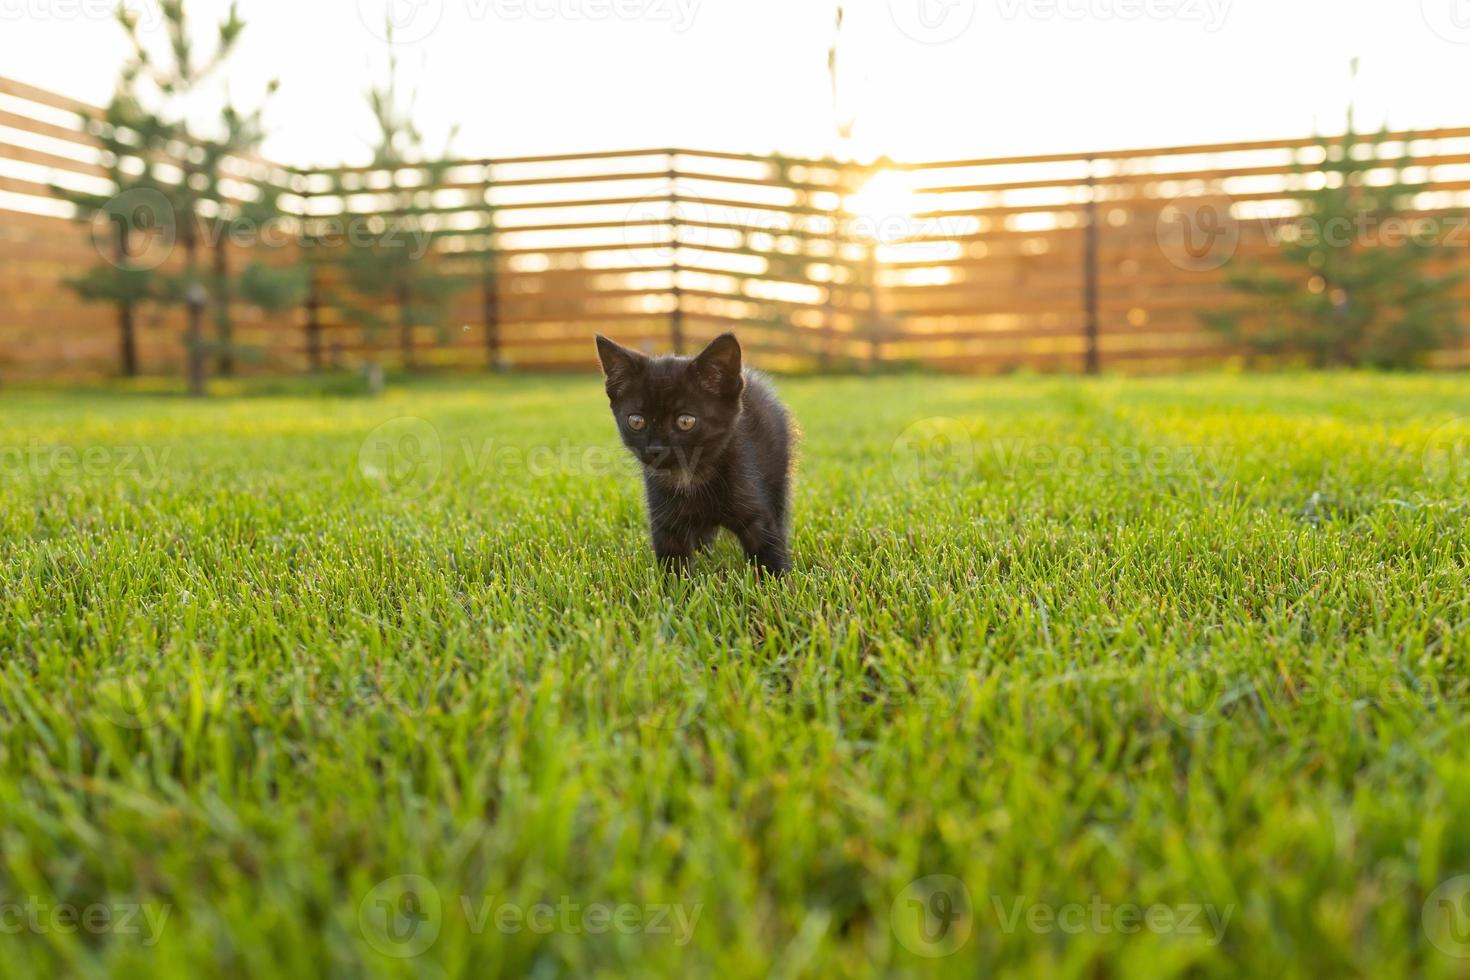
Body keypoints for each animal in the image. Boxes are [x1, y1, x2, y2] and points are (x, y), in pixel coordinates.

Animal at [593, 334, 793, 575]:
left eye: (686, 421)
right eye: (636, 421)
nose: (655, 449)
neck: (690, 476)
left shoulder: (756, 512)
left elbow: (768, 551)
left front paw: (777, 581)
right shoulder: (665, 521)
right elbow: (672, 564)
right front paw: (673, 584)